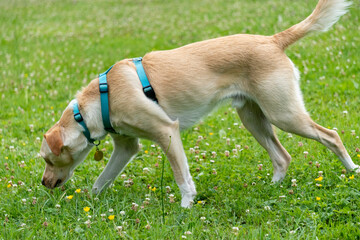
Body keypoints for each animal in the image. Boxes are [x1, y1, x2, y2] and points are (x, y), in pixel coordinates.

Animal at [40, 0, 358, 207]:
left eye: (47, 159)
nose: (43, 183)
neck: (98, 102)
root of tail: (272, 40)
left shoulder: (166, 131)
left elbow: (182, 177)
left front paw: (186, 206)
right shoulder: (127, 146)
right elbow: (101, 181)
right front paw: (89, 203)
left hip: (284, 114)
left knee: (331, 136)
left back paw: (352, 169)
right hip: (253, 118)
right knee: (282, 157)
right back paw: (273, 189)